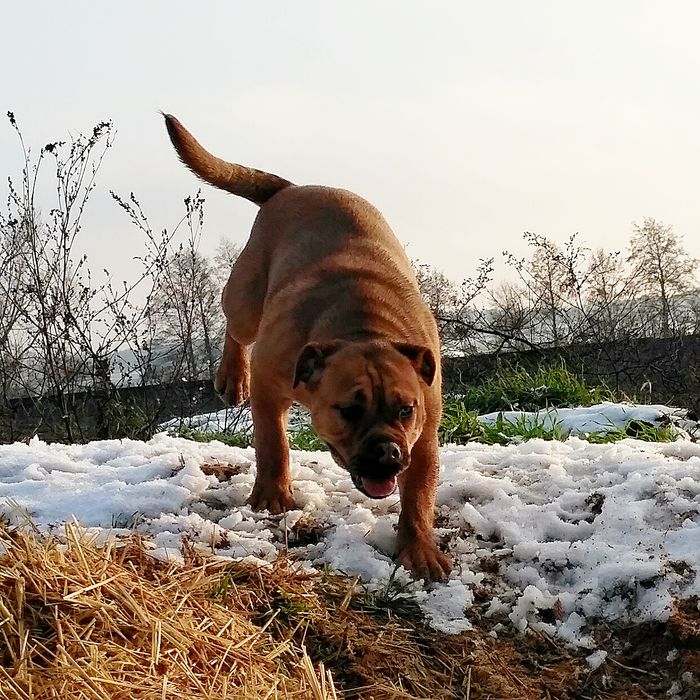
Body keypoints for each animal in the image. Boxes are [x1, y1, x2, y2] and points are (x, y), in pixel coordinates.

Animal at [164, 115, 452, 580]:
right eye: (348, 409)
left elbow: (419, 496)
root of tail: (292, 188)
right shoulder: (269, 381)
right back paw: (231, 376)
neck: (361, 329)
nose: (388, 453)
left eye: (405, 410)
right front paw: (271, 496)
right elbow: (272, 444)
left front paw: (420, 548)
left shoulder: (424, 434)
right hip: (245, 300)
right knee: (234, 328)